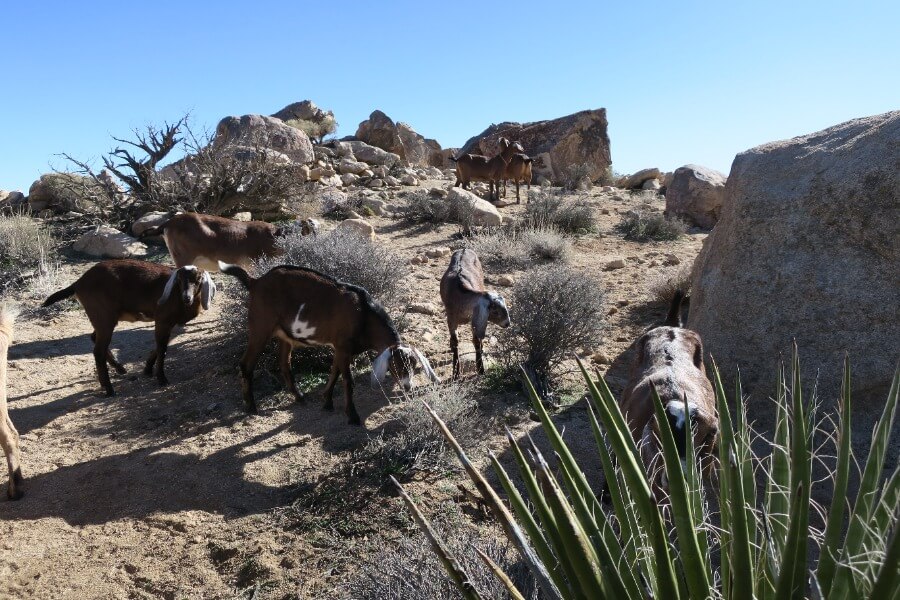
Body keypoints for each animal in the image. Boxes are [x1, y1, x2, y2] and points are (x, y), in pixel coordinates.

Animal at [43, 260, 217, 396]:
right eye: (179, 280)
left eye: (198, 279)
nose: (187, 297)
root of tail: (78, 283)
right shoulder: (162, 319)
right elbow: (162, 348)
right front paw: (161, 378)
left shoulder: (169, 323)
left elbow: (161, 345)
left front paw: (147, 369)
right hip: (103, 316)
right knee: (98, 351)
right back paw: (109, 389)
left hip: (103, 318)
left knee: (94, 338)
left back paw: (118, 370)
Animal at [221, 262, 440, 422]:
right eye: (396, 364)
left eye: (414, 364)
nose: (407, 387)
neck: (364, 315)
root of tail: (255, 282)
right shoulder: (343, 346)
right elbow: (348, 381)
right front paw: (352, 416)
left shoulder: (341, 349)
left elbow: (334, 372)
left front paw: (326, 402)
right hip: (260, 328)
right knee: (246, 364)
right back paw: (251, 407)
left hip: (285, 335)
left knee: (284, 363)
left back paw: (299, 397)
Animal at [440, 250, 510, 380]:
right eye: (495, 311)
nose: (507, 323)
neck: (460, 298)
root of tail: (464, 249)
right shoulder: (451, 319)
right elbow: (455, 341)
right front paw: (456, 372)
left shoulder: (474, 319)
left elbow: (476, 340)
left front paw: (480, 368)